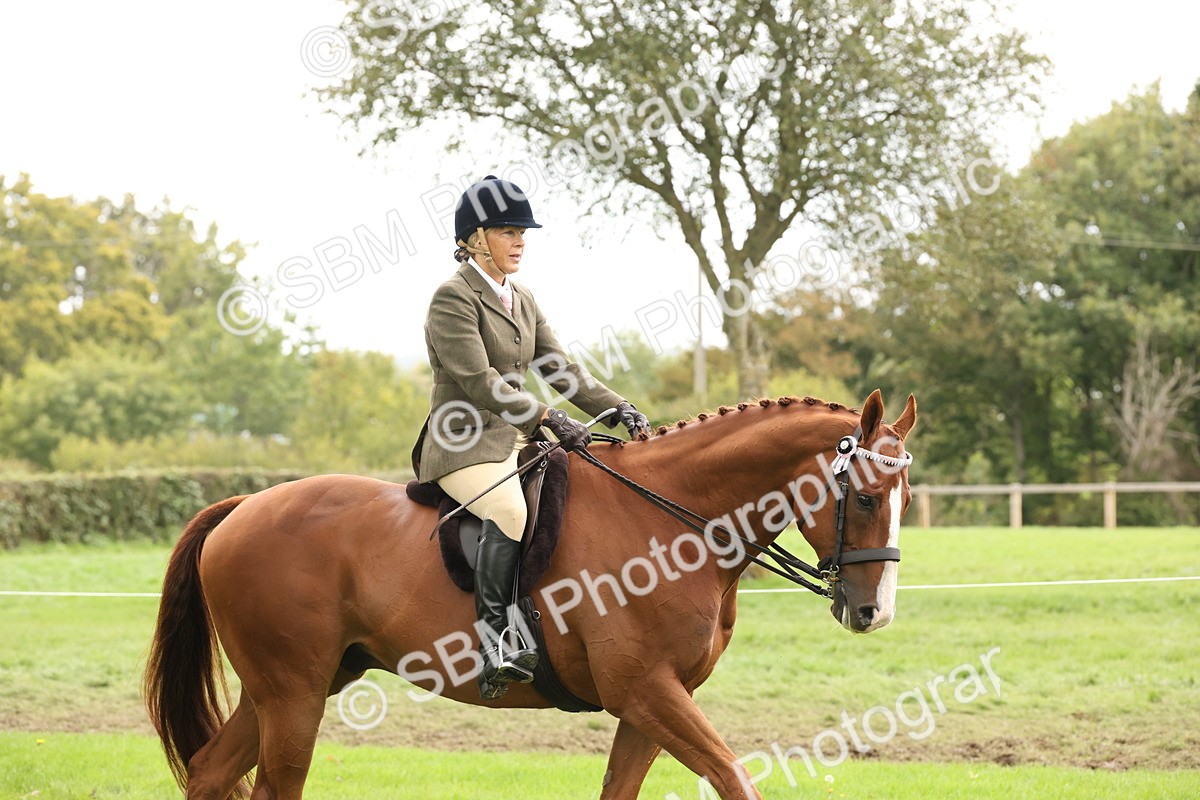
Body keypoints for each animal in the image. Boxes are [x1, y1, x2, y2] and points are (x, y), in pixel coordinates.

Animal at [144, 389, 917, 799]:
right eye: (867, 497)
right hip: (294, 695)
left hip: (291, 688)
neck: (674, 521)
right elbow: (734, 779)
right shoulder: (645, 690)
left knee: (209, 773)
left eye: (906, 498)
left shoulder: (655, 701)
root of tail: (242, 507)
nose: (874, 613)